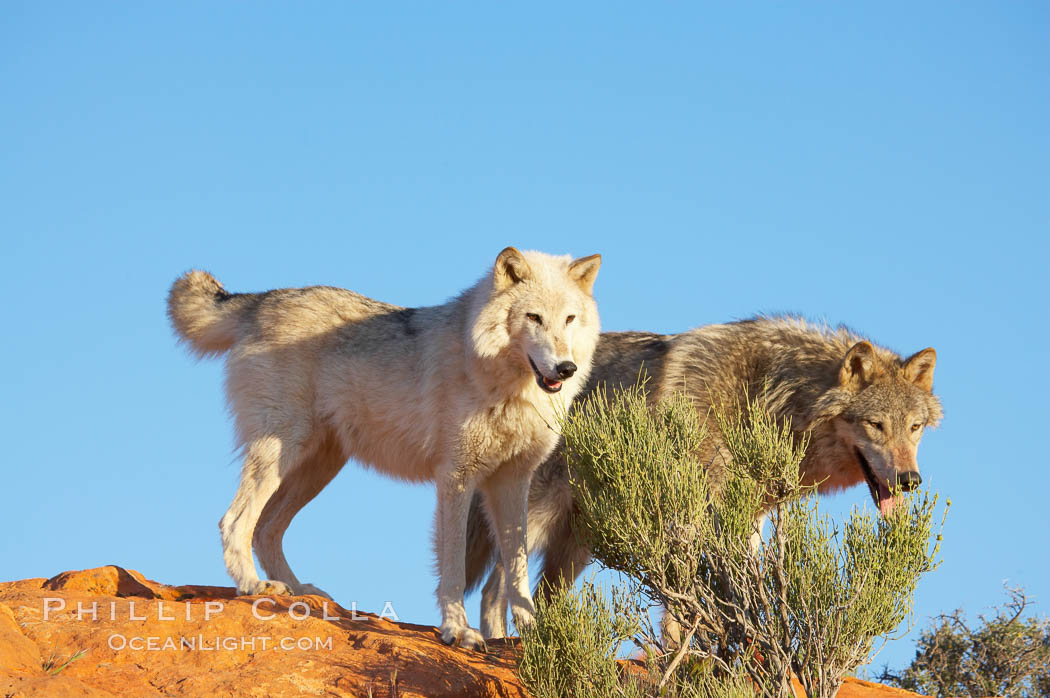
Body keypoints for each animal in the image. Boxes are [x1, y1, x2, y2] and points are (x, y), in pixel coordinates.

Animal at [167, 247, 602, 649]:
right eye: (533, 318)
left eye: (569, 319)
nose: (565, 368)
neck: (506, 384)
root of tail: (263, 299)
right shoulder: (456, 477)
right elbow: (453, 567)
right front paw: (458, 630)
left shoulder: (512, 482)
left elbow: (517, 567)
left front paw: (537, 634)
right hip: (283, 451)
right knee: (235, 520)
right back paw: (254, 586)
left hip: (317, 468)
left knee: (266, 528)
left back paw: (300, 592)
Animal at [466, 316, 942, 638]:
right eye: (875, 425)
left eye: (914, 428)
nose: (910, 480)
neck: (769, 397)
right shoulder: (692, 515)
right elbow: (684, 606)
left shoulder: (748, 520)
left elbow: (743, 596)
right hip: (540, 519)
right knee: (494, 589)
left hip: (578, 542)